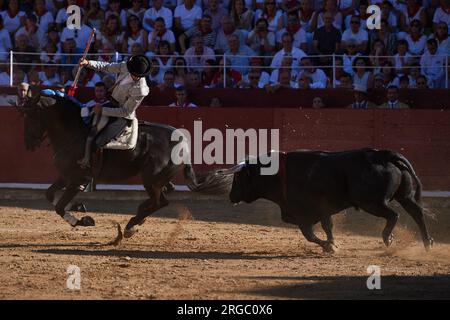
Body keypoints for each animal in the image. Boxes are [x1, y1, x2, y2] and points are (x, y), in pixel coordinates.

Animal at [16, 92, 229, 242]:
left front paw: (84, 220)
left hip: (150, 179)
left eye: (31, 115)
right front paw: (78, 207)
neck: (73, 131)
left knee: (160, 201)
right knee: (164, 195)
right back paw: (137, 220)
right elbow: (50, 195)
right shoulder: (65, 176)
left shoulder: (78, 179)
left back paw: (130, 225)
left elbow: (59, 206)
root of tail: (182, 141)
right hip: (157, 180)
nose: (28, 144)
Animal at [230, 149, 434, 252]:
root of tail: (383, 154)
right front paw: (332, 243)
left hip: (371, 202)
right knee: (416, 212)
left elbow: (310, 234)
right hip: (404, 196)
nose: (231, 196)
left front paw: (330, 247)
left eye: (238, 179)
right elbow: (327, 227)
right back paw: (427, 242)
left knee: (394, 215)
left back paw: (387, 238)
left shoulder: (303, 213)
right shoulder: (322, 210)